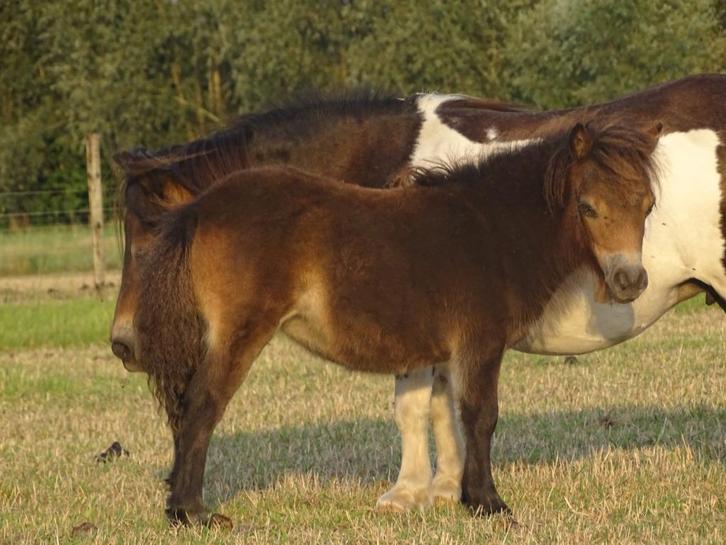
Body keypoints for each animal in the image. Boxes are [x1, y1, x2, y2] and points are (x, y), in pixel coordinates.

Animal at [110, 74, 726, 511]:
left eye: (151, 232)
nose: (123, 345)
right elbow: (440, 408)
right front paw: (444, 493)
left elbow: (426, 407)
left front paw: (420, 494)